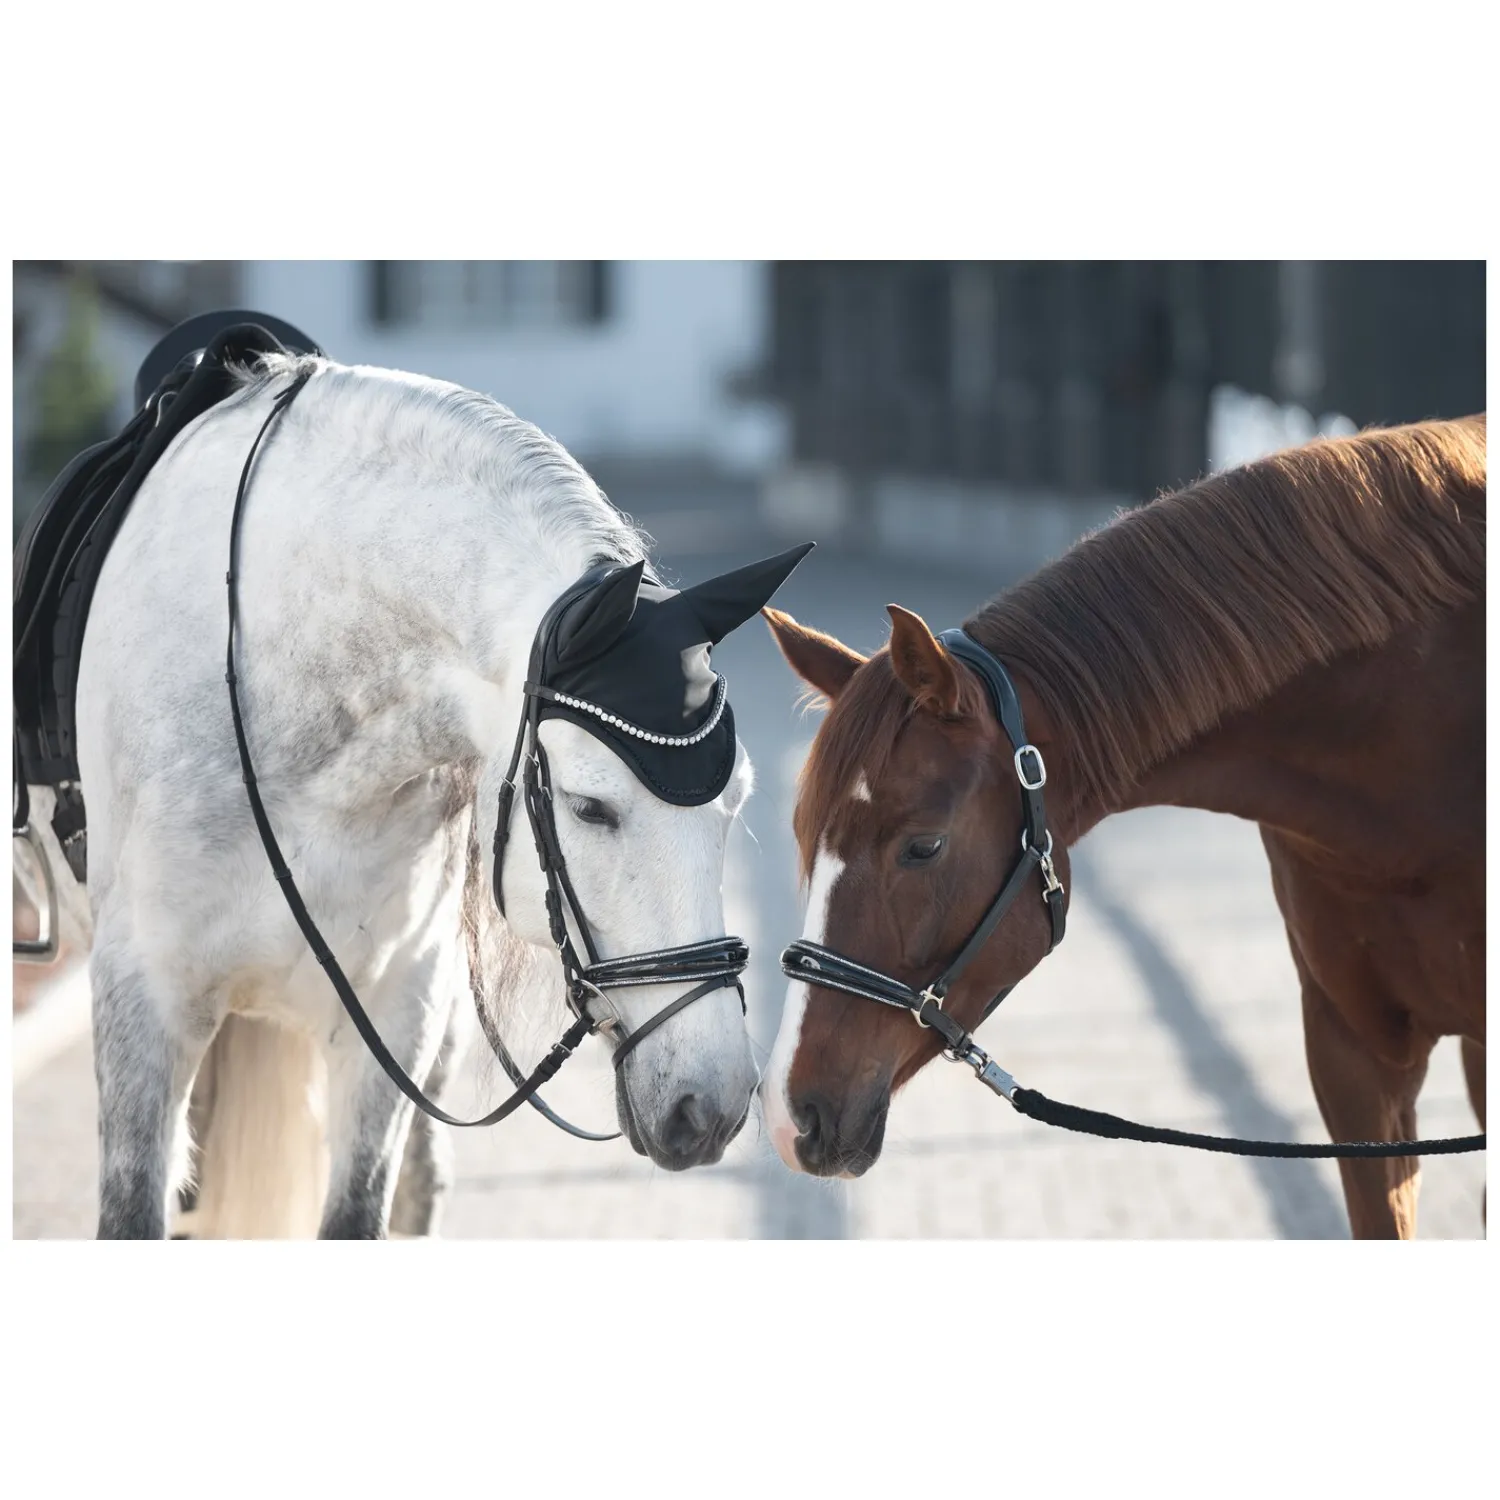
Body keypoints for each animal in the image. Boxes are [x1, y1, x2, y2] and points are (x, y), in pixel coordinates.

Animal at [21, 348, 810, 1239]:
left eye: (734, 804)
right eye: (590, 808)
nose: (708, 1107)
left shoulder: (397, 1011)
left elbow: (360, 1211)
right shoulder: (144, 1004)